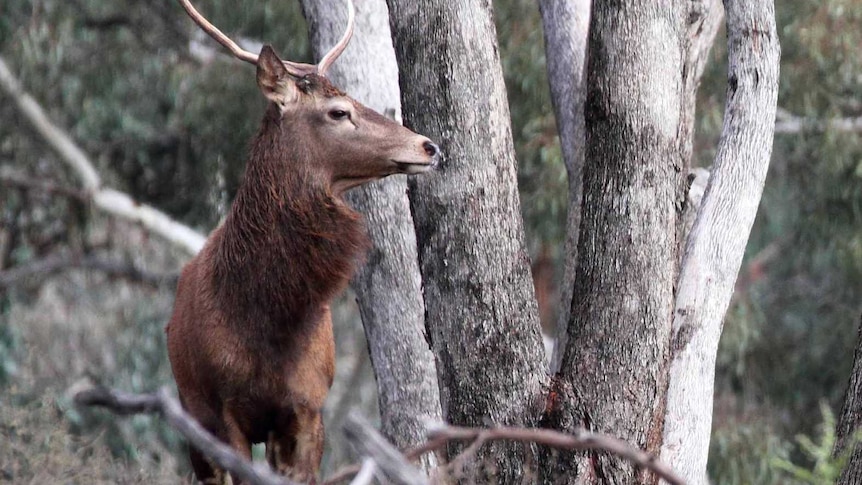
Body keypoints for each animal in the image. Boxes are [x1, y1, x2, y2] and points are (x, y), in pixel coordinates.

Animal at [166, 1, 442, 482]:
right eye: (338, 111)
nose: (428, 146)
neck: (270, 322)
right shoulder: (224, 413)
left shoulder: (307, 408)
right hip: (191, 413)